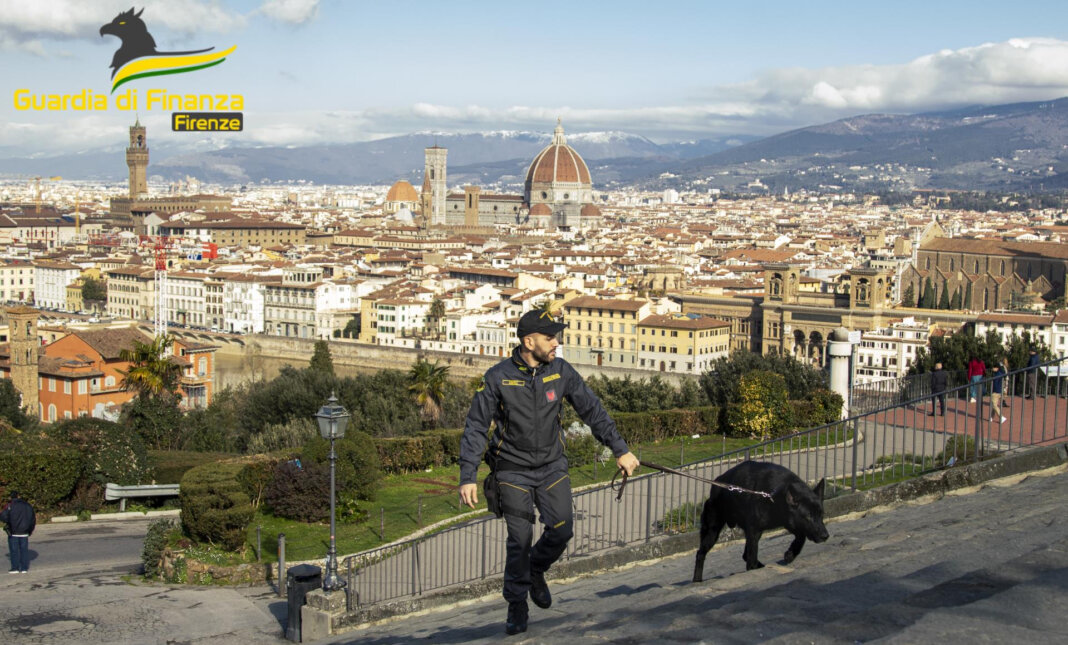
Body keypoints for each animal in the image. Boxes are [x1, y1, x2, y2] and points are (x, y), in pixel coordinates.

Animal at [696, 461, 828, 580]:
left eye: (821, 514)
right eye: (809, 516)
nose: (825, 536)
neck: (775, 496)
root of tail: (716, 483)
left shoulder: (789, 522)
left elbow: (801, 536)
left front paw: (791, 554)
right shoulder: (754, 531)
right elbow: (751, 557)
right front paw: (753, 568)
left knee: (745, 554)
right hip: (712, 532)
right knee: (700, 554)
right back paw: (697, 580)